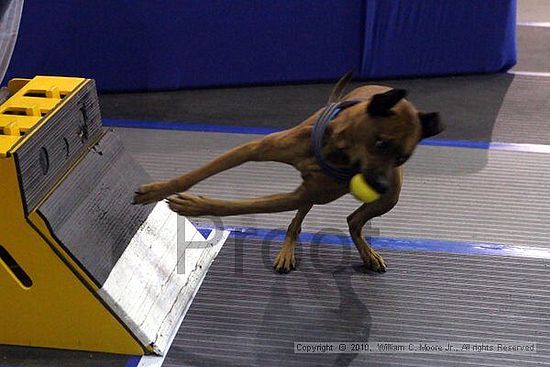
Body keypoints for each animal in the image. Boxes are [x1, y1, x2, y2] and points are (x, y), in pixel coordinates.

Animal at [133, 73, 444, 274]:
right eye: (381, 143)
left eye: (403, 157)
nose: (380, 185)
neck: (336, 148)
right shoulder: (253, 149)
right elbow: (197, 173)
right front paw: (156, 190)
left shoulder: (301, 193)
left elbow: (237, 206)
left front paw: (194, 205)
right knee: (311, 221)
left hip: (388, 198)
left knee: (351, 221)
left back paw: (366, 253)